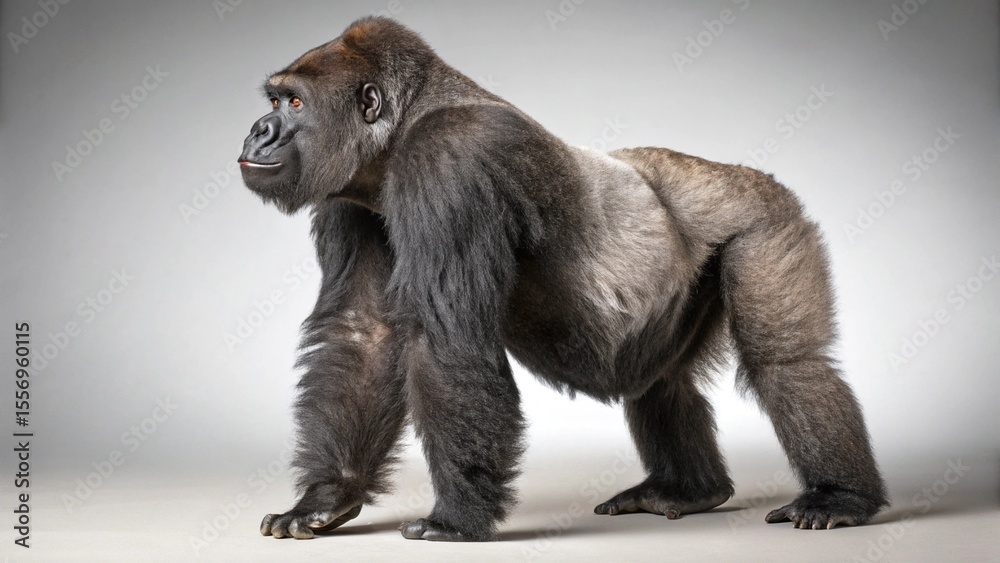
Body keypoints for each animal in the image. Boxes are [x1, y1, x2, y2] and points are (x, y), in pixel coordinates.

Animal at [238, 16, 888, 541]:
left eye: (293, 104)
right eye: (276, 99)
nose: (257, 131)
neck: (404, 125)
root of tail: (751, 175)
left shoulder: (449, 158)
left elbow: (449, 340)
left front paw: (458, 518)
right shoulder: (350, 194)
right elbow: (363, 334)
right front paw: (326, 497)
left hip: (765, 215)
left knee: (788, 364)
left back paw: (842, 496)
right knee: (661, 382)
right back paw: (689, 489)